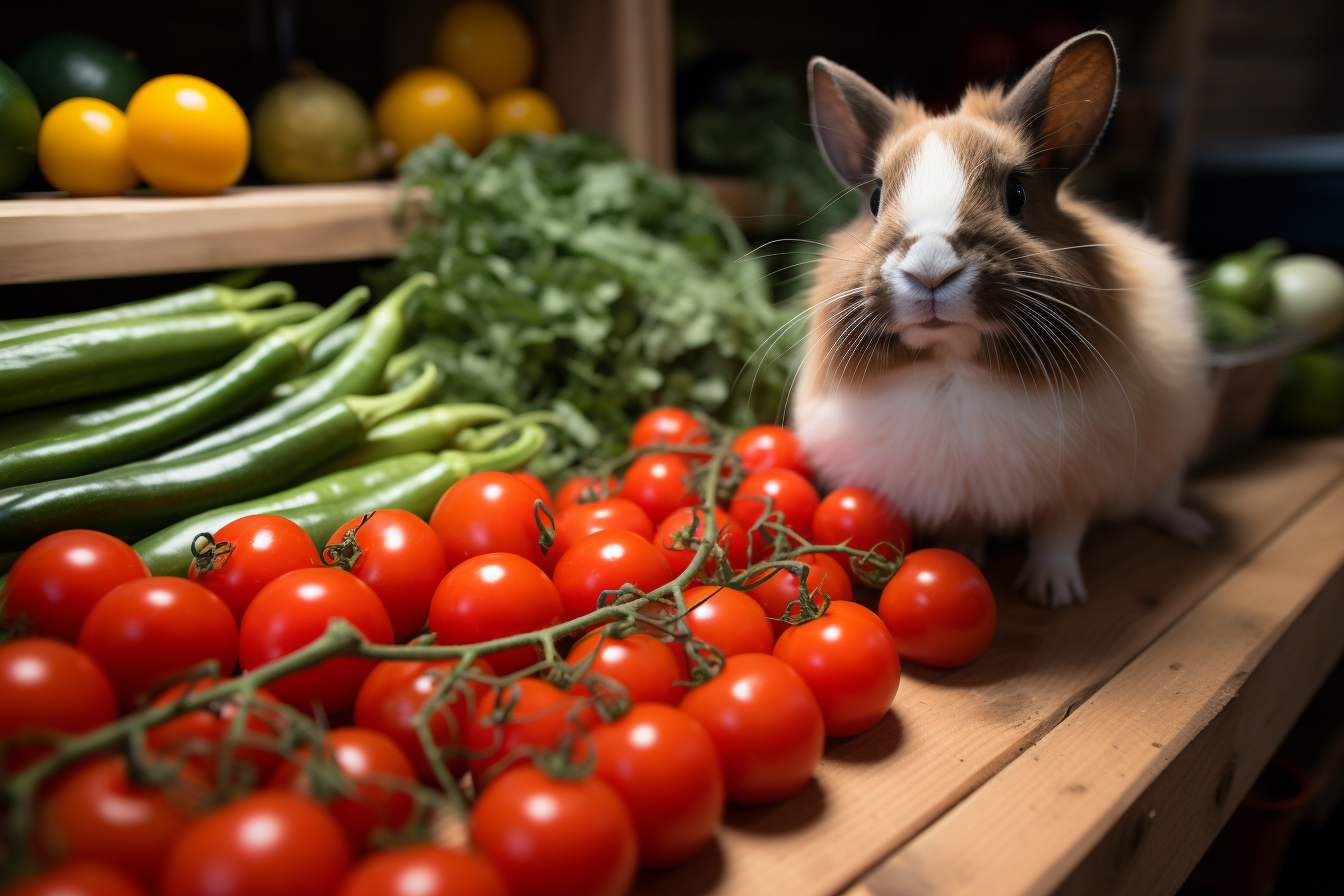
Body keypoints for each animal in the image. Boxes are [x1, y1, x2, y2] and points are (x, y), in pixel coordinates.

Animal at [790, 31, 1214, 607]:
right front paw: (962, 556)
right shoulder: (955, 492)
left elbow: (1059, 533)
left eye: (1017, 193)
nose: (930, 270)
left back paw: (1191, 529)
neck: (953, 366)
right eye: (875, 198)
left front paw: (1053, 591)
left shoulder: (1075, 480)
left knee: (1161, 499)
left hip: (1165, 458)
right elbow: (964, 527)